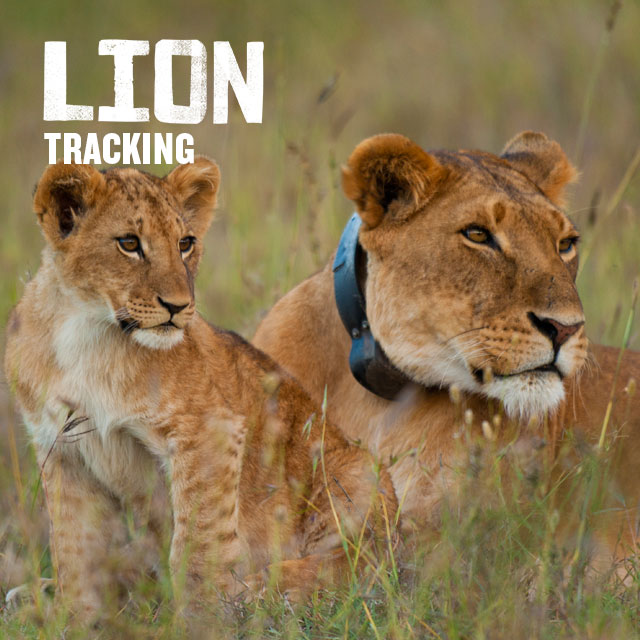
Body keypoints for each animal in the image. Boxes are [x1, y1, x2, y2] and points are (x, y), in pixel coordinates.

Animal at [4, 158, 397, 620]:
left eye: (185, 243)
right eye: (129, 243)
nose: (177, 306)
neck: (88, 330)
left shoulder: (210, 428)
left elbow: (196, 540)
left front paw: (201, 615)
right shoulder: (62, 449)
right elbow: (74, 548)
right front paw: (75, 615)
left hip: (353, 472)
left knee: (357, 565)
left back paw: (262, 593)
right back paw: (34, 595)